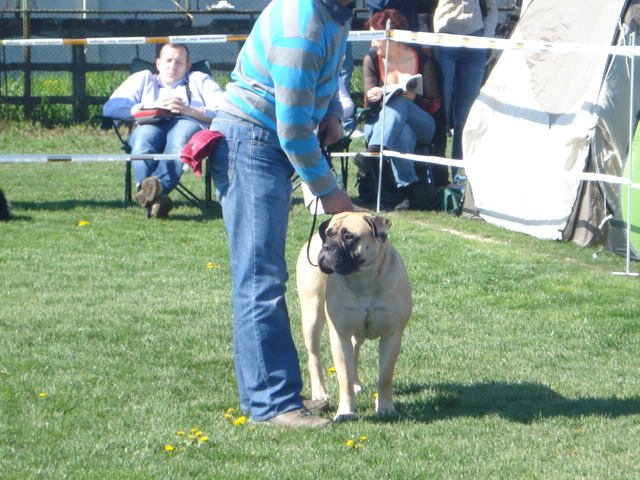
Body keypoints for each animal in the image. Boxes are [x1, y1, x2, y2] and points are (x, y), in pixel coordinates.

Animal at [296, 212, 410, 422]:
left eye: (349, 237)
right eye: (328, 234)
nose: (327, 247)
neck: (363, 279)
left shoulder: (392, 335)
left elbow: (385, 376)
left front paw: (385, 407)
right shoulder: (340, 334)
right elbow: (344, 376)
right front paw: (346, 411)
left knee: (355, 352)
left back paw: (357, 383)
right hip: (312, 315)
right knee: (314, 357)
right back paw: (319, 392)